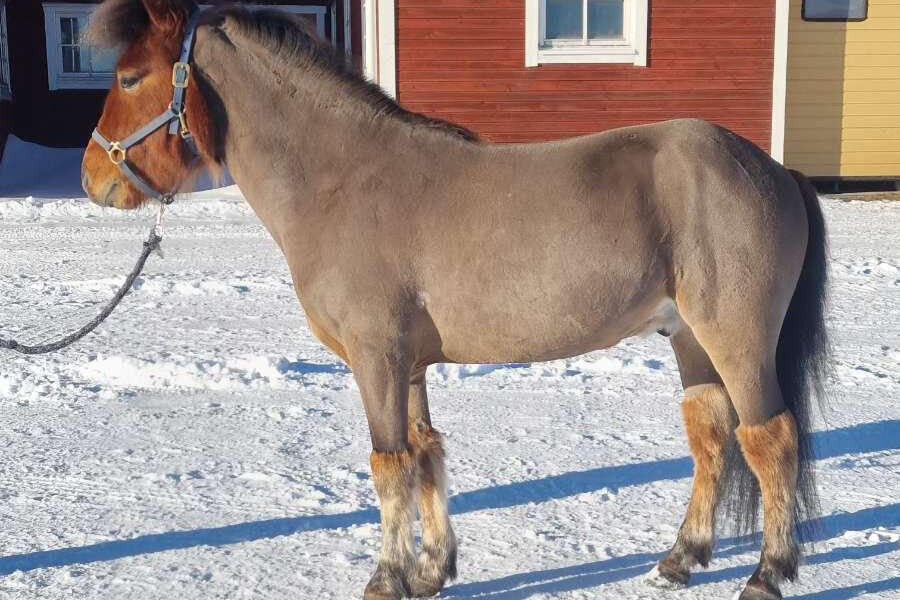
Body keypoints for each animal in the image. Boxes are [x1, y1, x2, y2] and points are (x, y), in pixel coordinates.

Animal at [81, 2, 832, 596]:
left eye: (129, 77)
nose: (93, 178)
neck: (342, 180)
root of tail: (771, 168)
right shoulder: (408, 365)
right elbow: (425, 453)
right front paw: (431, 571)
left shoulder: (376, 359)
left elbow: (389, 467)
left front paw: (386, 579)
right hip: (688, 340)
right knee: (710, 435)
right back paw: (681, 558)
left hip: (737, 340)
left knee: (770, 440)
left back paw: (766, 574)